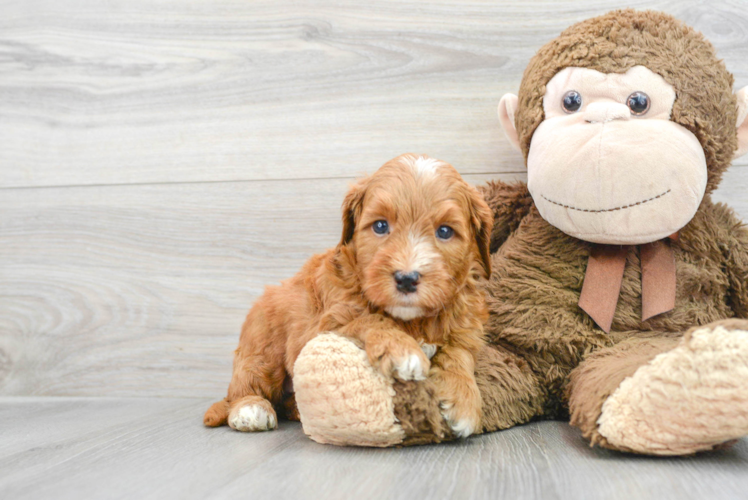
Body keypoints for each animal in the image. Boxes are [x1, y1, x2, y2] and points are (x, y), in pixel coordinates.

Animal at [205, 153, 494, 438]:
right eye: (380, 226)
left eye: (445, 231)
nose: (406, 278)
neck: (411, 321)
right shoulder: (327, 324)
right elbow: (370, 319)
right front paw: (403, 350)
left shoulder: (464, 327)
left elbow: (459, 353)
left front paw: (465, 400)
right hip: (262, 344)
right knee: (247, 384)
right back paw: (251, 409)